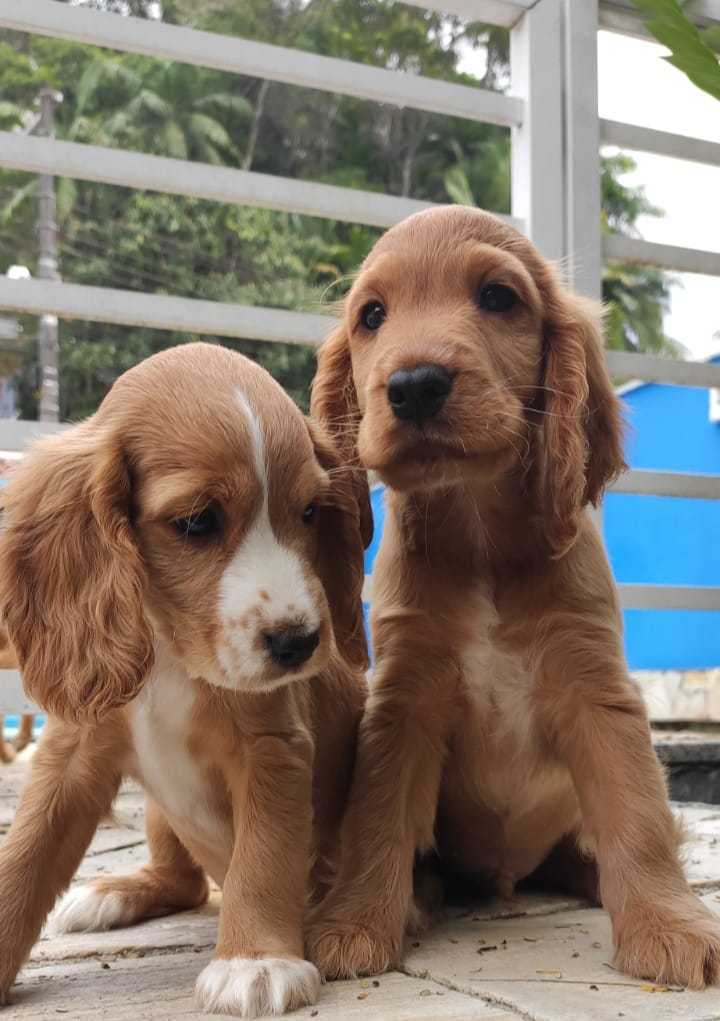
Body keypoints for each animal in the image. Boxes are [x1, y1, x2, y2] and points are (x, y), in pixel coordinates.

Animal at [0, 343, 370, 1017]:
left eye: (309, 512)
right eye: (197, 522)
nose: (299, 641)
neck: (173, 655)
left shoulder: (274, 749)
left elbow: (264, 857)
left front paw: (255, 961)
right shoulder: (71, 754)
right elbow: (25, 855)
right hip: (157, 811)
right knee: (182, 881)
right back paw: (116, 892)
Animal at [306, 206, 720, 990]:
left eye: (498, 298)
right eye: (372, 315)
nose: (414, 384)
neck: (480, 540)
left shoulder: (596, 686)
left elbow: (639, 818)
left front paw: (670, 925)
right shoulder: (404, 695)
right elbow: (377, 816)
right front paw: (354, 923)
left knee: (609, 846)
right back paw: (417, 900)